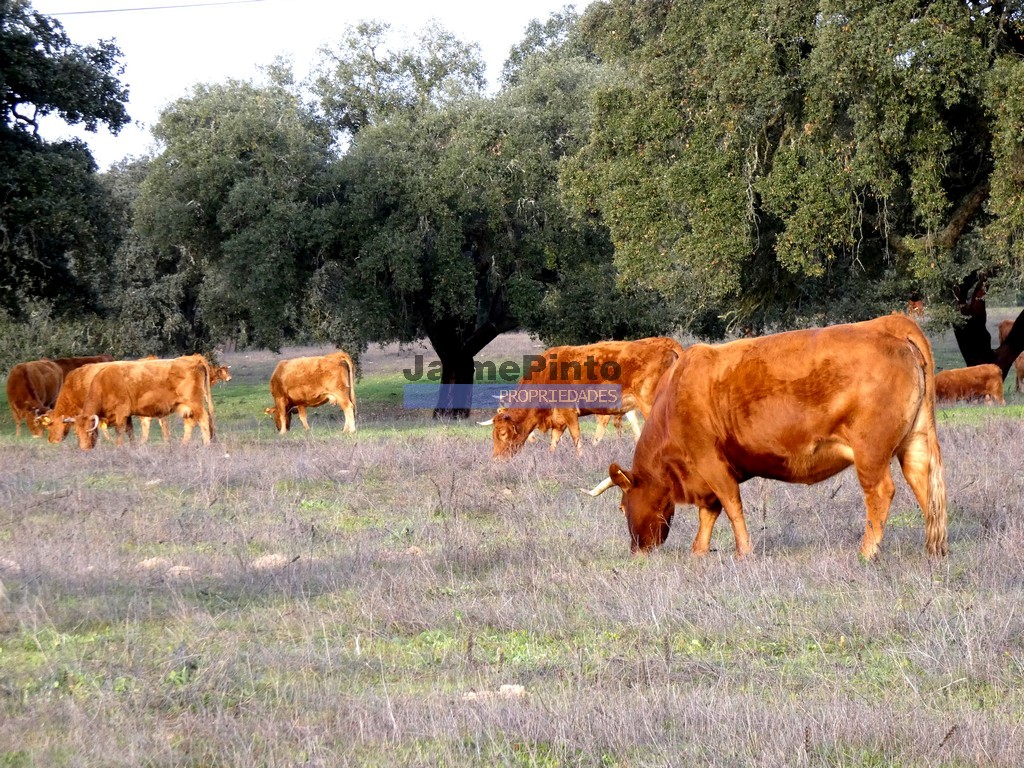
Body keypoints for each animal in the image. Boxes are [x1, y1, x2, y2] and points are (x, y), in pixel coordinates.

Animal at [74, 356, 216, 450]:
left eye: (90, 433)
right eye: (77, 434)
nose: (84, 449)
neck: (104, 383)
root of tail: (194, 360)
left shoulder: (121, 411)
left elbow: (120, 430)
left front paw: (119, 448)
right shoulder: (127, 414)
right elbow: (130, 431)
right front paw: (133, 447)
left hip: (195, 403)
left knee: (204, 419)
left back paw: (207, 445)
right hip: (185, 406)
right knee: (190, 423)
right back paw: (183, 445)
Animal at [485, 335, 684, 456]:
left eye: (502, 433)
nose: (496, 459)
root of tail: (670, 350)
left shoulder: (569, 412)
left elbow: (576, 437)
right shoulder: (558, 420)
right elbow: (553, 443)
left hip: (649, 406)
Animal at [585, 315, 942, 561]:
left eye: (621, 505)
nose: (637, 550)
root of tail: (888, 323)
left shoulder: (710, 462)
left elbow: (730, 505)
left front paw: (744, 551)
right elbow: (709, 512)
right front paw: (699, 550)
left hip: (870, 453)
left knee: (881, 493)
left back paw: (866, 552)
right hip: (915, 441)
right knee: (924, 485)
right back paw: (934, 548)